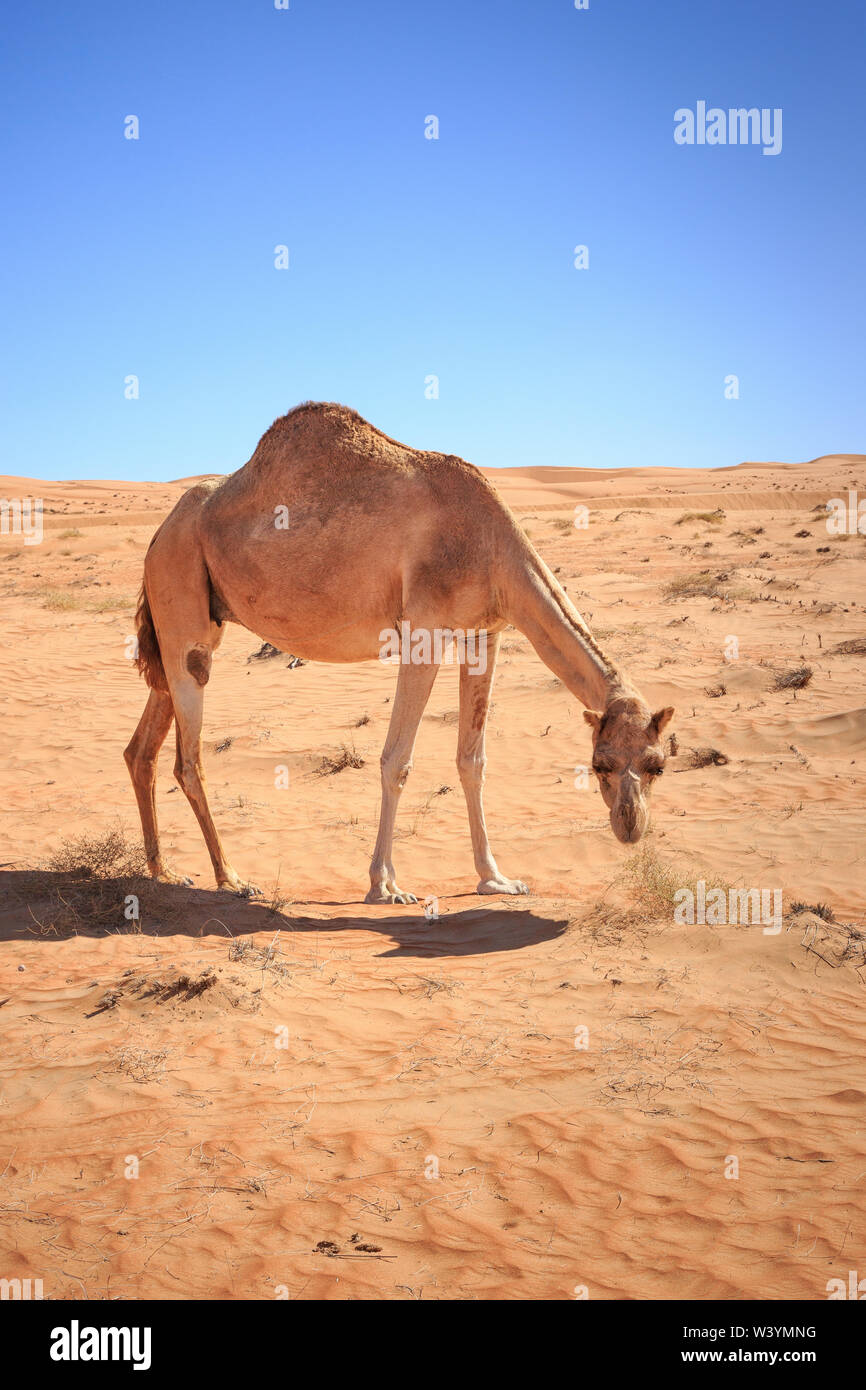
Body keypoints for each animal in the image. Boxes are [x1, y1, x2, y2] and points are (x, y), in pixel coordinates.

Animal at [125, 403, 675, 900]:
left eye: (657, 765)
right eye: (600, 764)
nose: (630, 827)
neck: (495, 548)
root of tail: (158, 534)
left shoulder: (483, 634)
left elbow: (472, 760)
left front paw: (495, 879)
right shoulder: (423, 632)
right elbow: (398, 760)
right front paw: (385, 885)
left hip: (187, 627)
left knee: (142, 748)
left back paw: (164, 871)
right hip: (182, 594)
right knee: (188, 759)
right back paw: (231, 878)